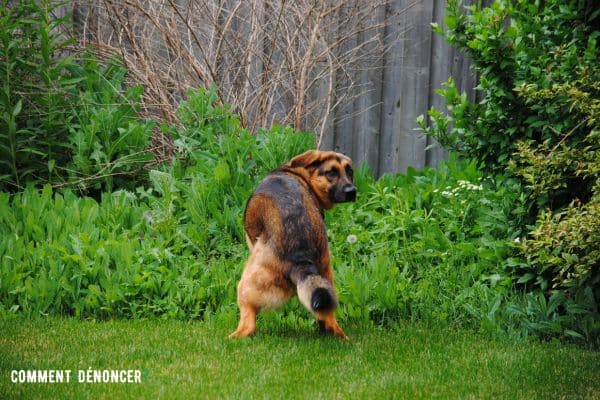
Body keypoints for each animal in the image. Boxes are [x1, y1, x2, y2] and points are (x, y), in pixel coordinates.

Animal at [227, 149, 354, 338]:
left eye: (349, 171)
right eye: (331, 172)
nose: (352, 191)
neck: (298, 174)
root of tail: (300, 255)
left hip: (246, 285)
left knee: (248, 324)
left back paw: (234, 337)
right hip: (326, 278)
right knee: (328, 316)